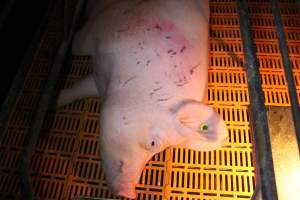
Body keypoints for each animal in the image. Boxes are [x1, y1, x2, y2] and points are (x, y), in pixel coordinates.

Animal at [58, 0, 227, 198]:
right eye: (153, 143)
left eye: (158, 149)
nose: (128, 193)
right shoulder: (99, 29)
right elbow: (77, 47)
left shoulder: (99, 81)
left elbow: (78, 89)